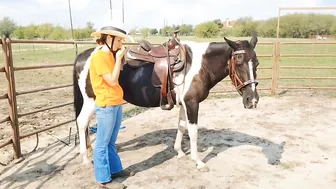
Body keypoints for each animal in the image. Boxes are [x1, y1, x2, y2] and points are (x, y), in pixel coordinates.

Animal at [73, 32, 260, 171]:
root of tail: (83, 56)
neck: (197, 65)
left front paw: (179, 152)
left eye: (256, 63)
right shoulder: (192, 103)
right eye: (239, 62)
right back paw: (85, 158)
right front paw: (198, 162)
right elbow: (193, 131)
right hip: (90, 101)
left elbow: (181, 126)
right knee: (82, 122)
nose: (252, 100)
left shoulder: (184, 103)